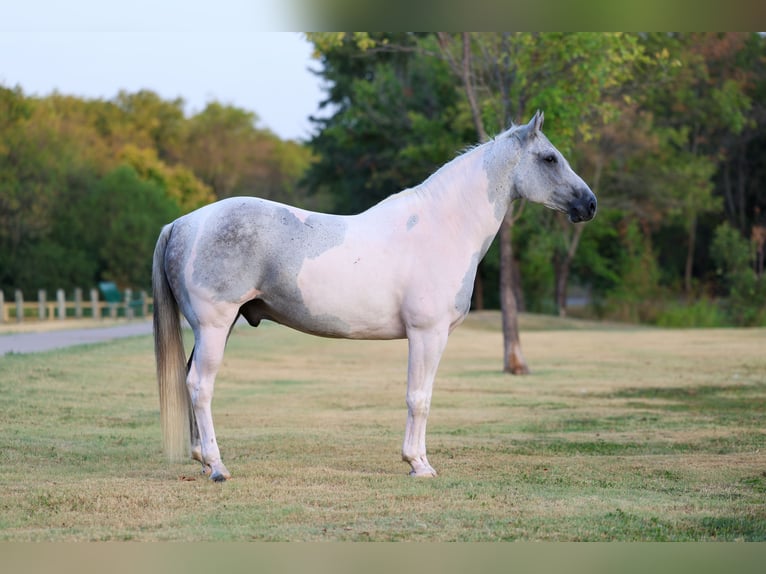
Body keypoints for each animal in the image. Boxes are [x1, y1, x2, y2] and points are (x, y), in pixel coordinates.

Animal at [152, 111, 596, 482]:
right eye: (550, 158)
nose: (589, 204)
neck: (442, 228)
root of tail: (184, 222)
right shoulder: (427, 334)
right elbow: (419, 398)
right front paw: (418, 464)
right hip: (214, 325)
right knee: (200, 385)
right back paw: (217, 466)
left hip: (216, 328)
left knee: (190, 381)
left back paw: (201, 457)